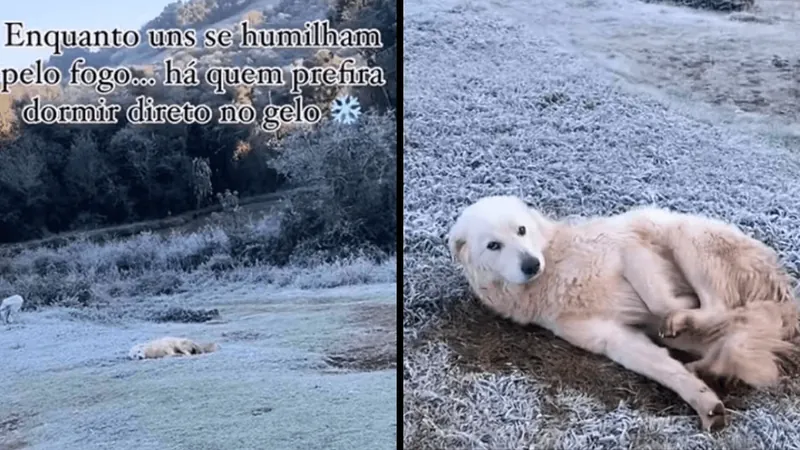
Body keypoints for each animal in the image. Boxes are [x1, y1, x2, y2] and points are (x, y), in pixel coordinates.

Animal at [446, 195, 796, 430]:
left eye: (521, 230)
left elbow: (659, 302)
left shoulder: (629, 249)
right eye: (493, 245)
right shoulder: (612, 338)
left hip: (682, 235)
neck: (553, 266)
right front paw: (703, 401)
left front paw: (679, 306)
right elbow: (664, 369)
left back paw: (686, 318)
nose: (532, 264)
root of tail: (783, 289)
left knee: (718, 305)